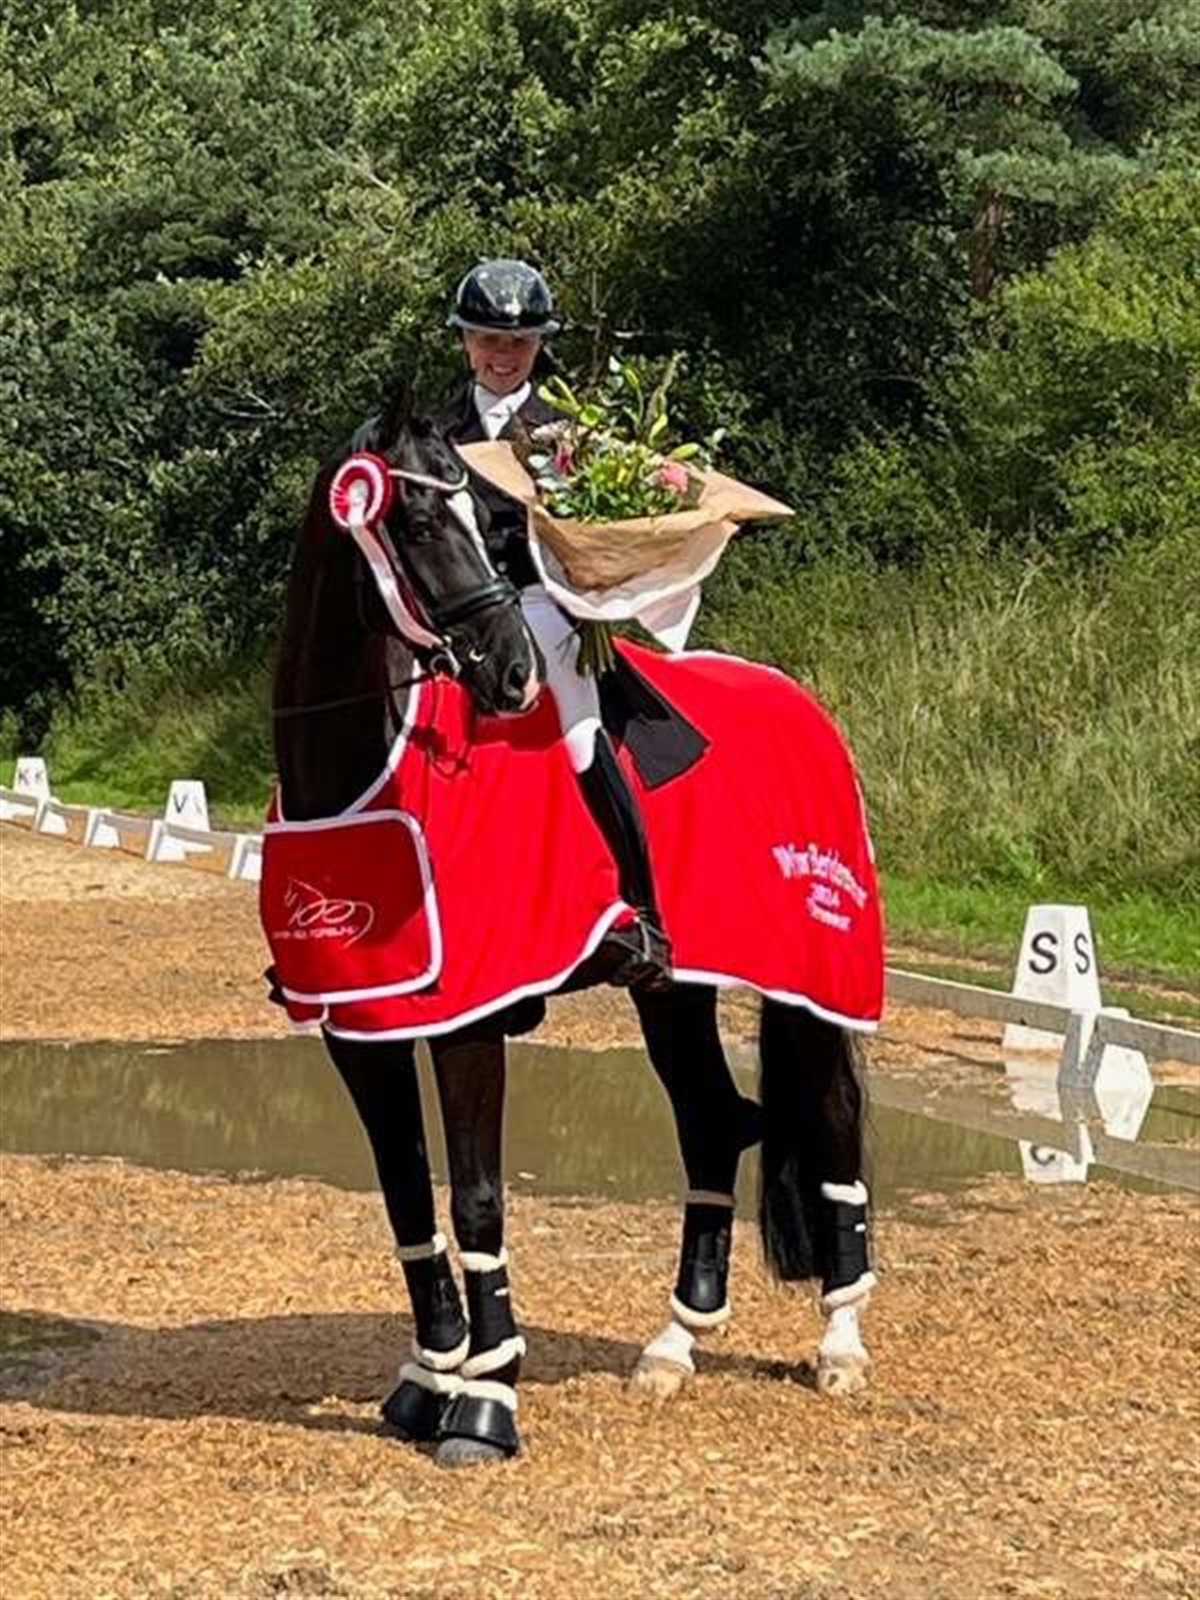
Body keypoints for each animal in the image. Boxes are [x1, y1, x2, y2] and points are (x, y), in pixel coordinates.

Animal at [267, 393, 877, 1467]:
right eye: (413, 523)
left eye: (490, 522)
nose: (512, 673)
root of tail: (803, 705)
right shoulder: (360, 1032)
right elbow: (406, 1193)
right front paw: (427, 1377)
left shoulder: (468, 1022)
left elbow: (476, 1198)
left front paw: (485, 1401)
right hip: (675, 990)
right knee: (713, 1120)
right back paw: (674, 1346)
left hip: (813, 978)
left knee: (830, 1123)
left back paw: (841, 1346)